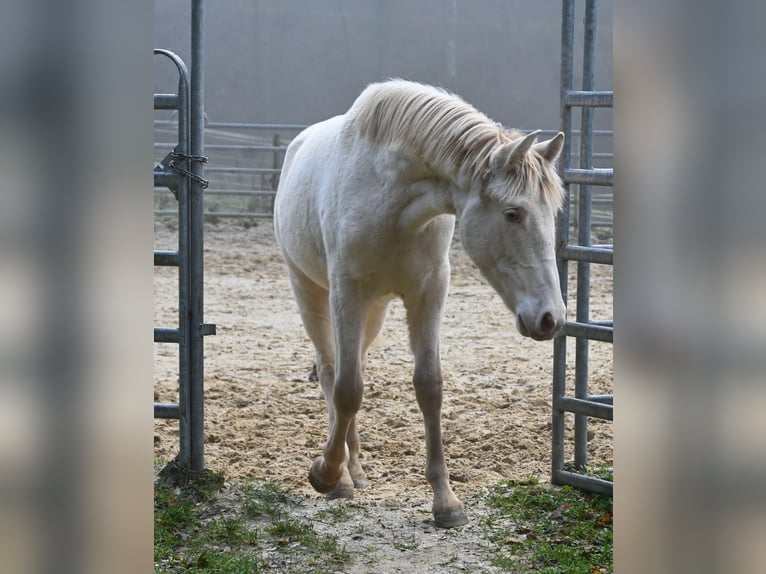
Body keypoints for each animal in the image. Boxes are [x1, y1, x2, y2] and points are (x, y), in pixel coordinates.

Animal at [272, 81, 568, 532]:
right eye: (513, 213)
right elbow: (347, 389)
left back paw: (355, 469)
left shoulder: (429, 293)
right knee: (330, 371)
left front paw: (445, 502)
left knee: (352, 367)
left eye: (553, 212)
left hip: (373, 312)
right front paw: (324, 474)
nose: (551, 318)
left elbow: (428, 386)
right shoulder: (346, 292)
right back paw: (341, 477)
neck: (392, 202)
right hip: (310, 291)